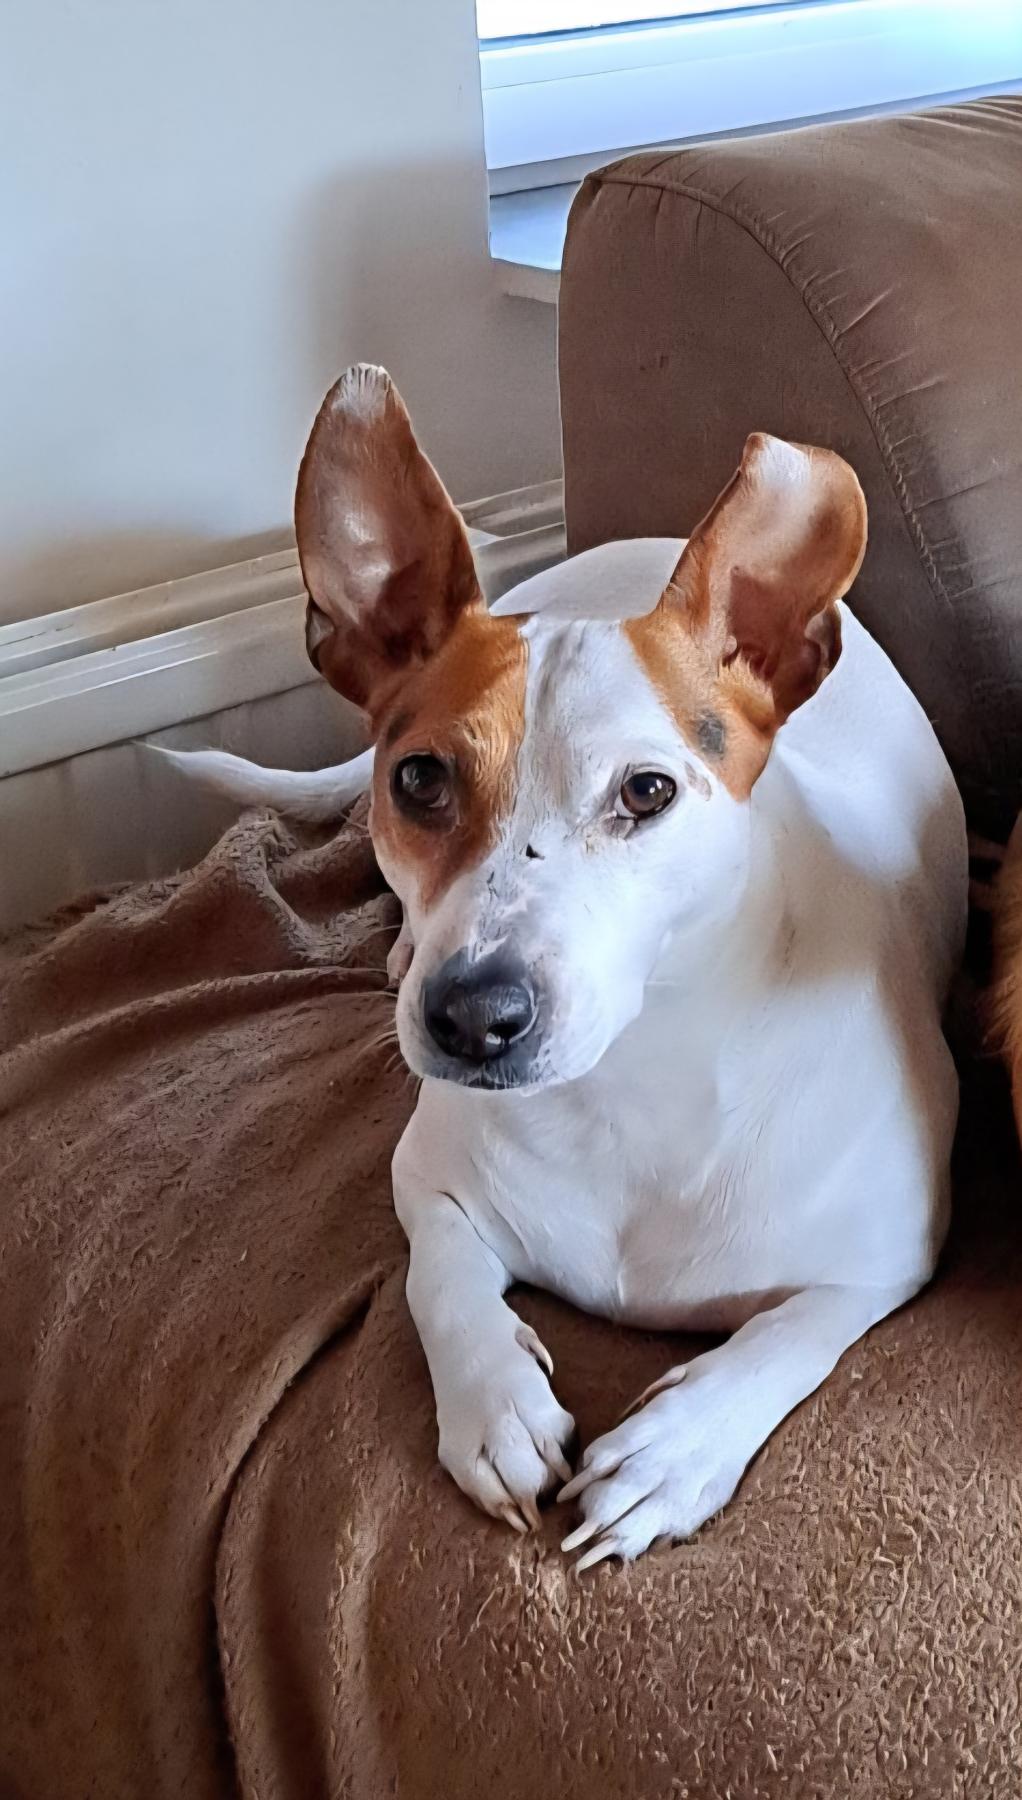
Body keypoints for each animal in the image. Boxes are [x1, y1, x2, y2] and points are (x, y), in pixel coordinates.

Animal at [164, 364, 967, 1568]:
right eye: (418, 779)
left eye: (647, 791)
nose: (470, 1016)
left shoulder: (881, 1261)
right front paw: (493, 1406)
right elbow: (438, 1276)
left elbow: (788, 1337)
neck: (629, 1085)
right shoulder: (424, 1178)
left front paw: (674, 1451)